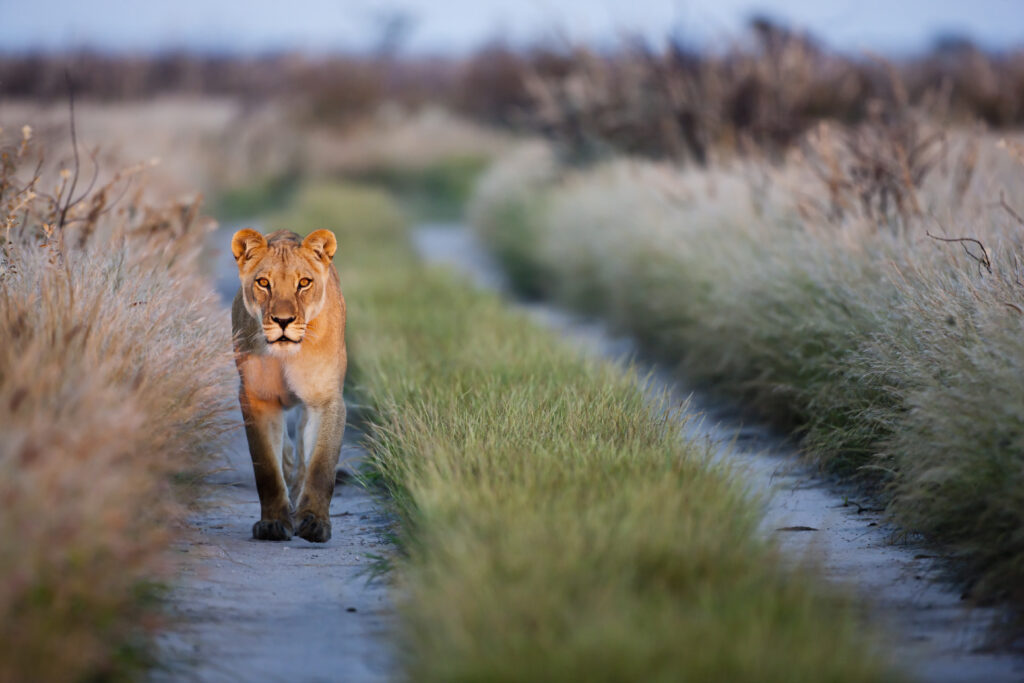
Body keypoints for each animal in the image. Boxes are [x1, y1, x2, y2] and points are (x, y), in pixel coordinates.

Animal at [230, 228, 347, 543]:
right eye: (263, 282)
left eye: (304, 282)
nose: (283, 321)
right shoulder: (257, 398)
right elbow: (267, 468)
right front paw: (272, 524)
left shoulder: (326, 398)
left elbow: (320, 467)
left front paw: (315, 522)